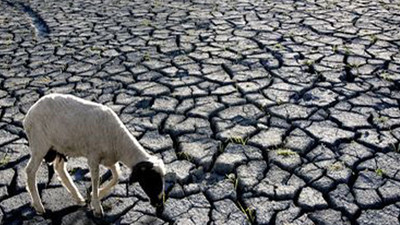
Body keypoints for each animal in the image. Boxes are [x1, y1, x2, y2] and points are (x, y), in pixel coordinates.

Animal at [23, 92, 166, 216]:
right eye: (151, 179)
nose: (160, 204)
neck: (119, 143)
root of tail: (28, 115)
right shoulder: (93, 158)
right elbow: (96, 179)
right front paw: (97, 207)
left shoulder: (108, 158)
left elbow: (116, 176)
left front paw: (95, 195)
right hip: (40, 144)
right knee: (30, 171)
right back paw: (39, 206)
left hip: (60, 147)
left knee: (59, 168)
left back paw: (78, 198)